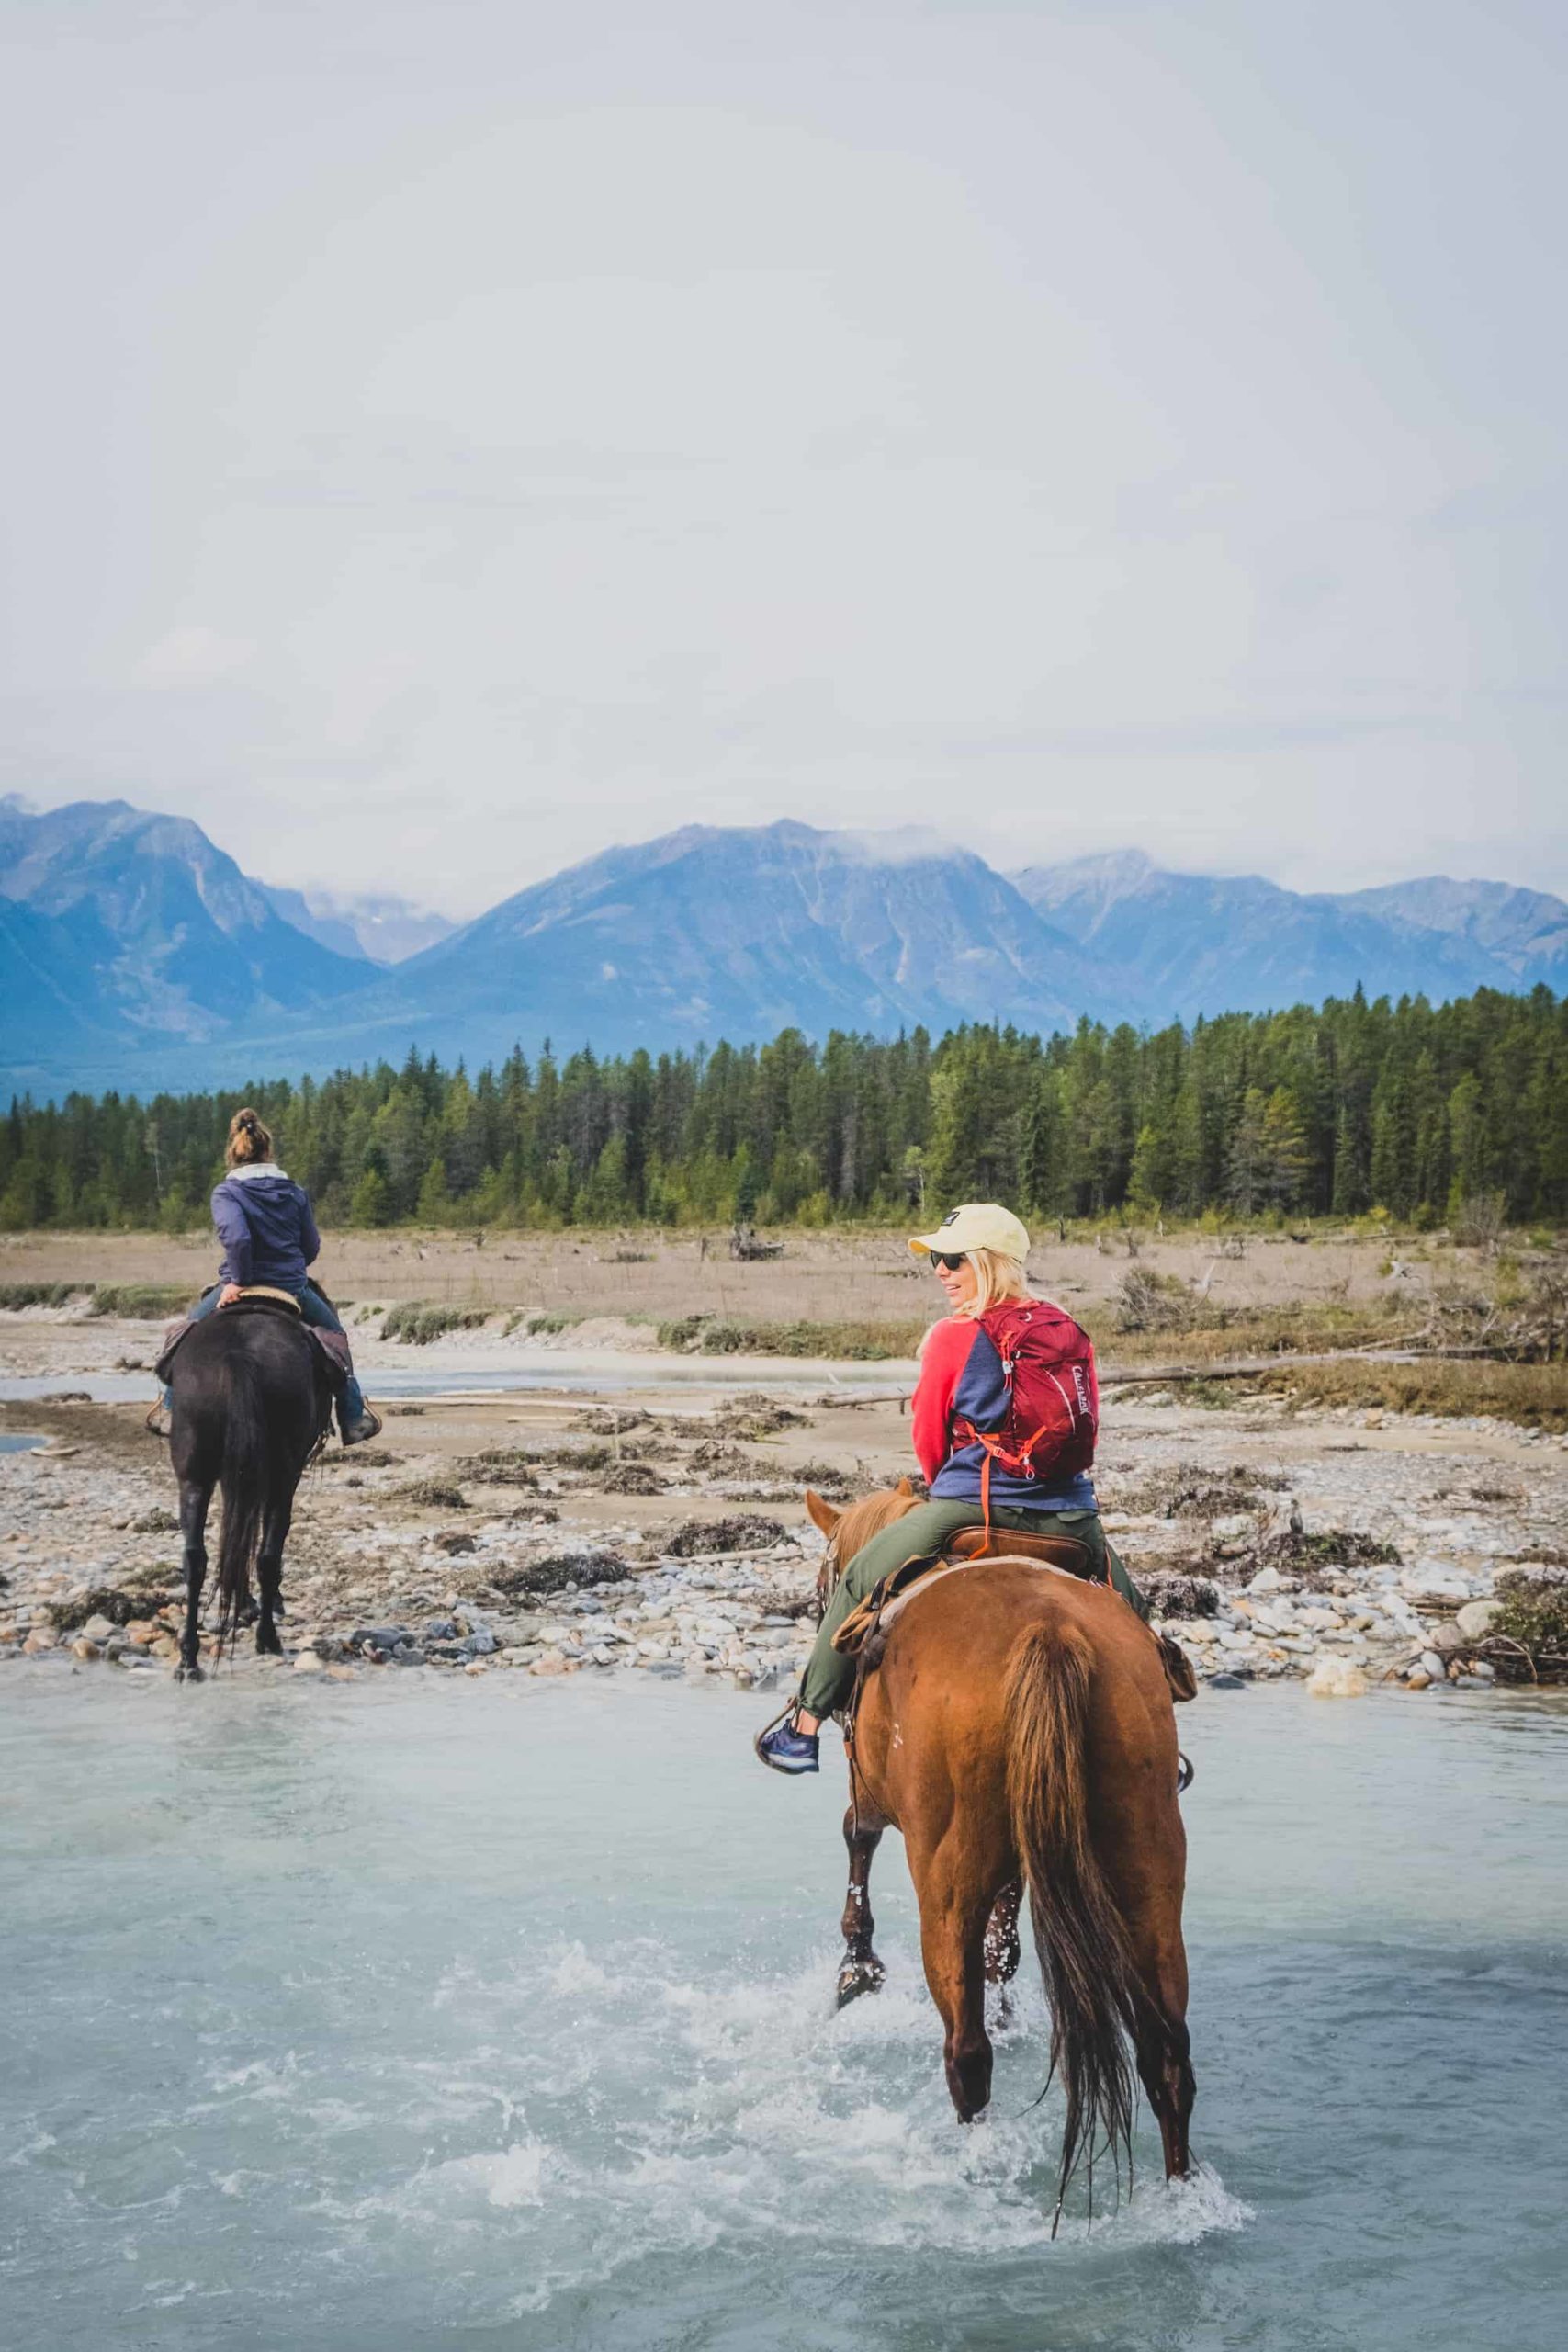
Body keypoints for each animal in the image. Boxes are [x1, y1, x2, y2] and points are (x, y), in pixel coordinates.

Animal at [169, 1307, 331, 1674]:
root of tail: (237, 1354)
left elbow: (237, 1534)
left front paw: (242, 1602)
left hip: (195, 1477)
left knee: (195, 1558)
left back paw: (189, 1657)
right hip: (283, 1475)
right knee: (268, 1555)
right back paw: (267, 1637)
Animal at [808, 1486, 1189, 2220]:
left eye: (820, 1587)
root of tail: (1050, 1632)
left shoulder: (867, 1786)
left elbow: (856, 1836)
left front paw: (856, 1967)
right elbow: (1006, 1933)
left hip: (946, 1881)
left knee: (965, 2051)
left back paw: (970, 2165)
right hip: (1148, 1870)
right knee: (1168, 2053)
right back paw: (1184, 2191)